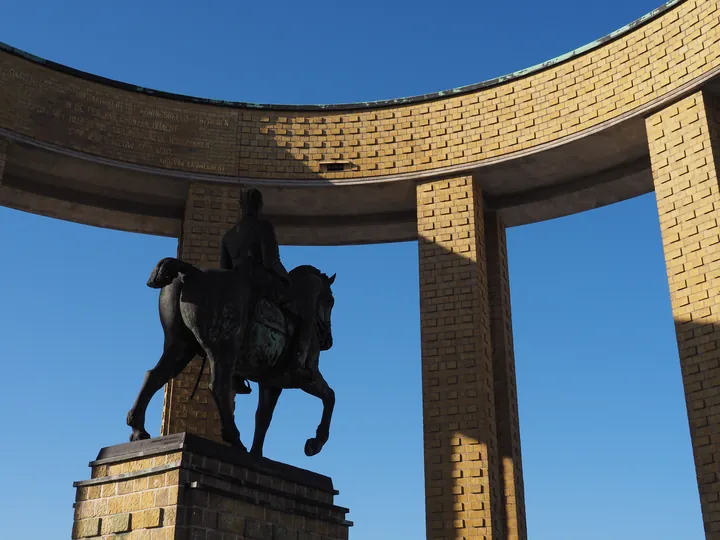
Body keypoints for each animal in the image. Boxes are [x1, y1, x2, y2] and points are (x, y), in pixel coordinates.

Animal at [124, 256, 338, 456]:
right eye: (330, 301)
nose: (328, 341)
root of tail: (191, 272)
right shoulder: (301, 378)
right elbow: (330, 396)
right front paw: (314, 443)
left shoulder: (270, 382)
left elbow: (263, 417)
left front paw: (257, 455)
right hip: (223, 348)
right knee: (219, 387)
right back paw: (234, 439)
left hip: (180, 346)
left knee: (155, 376)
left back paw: (138, 430)